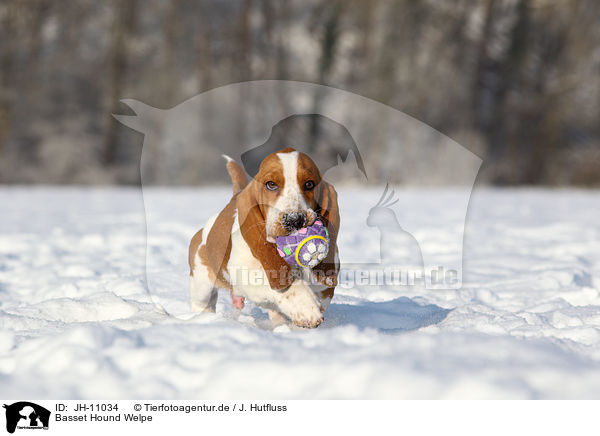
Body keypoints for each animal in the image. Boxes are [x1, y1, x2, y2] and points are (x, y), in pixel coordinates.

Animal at [188, 148, 338, 328]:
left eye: (309, 184)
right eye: (271, 184)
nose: (295, 220)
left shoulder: (325, 286)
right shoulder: (245, 270)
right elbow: (283, 282)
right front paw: (306, 307)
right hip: (201, 284)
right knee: (203, 303)